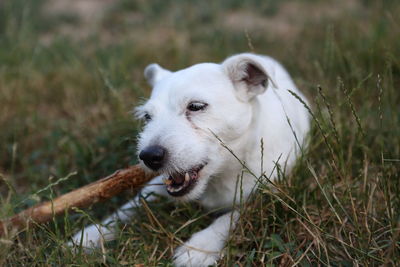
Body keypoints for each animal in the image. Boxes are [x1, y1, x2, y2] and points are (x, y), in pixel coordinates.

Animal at [70, 53, 310, 266]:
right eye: (147, 117)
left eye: (195, 106)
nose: (148, 156)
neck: (220, 176)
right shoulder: (157, 186)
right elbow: (133, 205)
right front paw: (93, 233)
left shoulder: (269, 192)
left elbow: (231, 217)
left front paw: (200, 247)